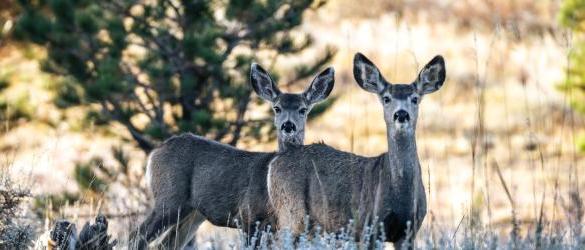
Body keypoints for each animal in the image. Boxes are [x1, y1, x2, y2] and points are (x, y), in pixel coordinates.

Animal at [130, 61, 336, 249]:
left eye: (303, 109)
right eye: (277, 108)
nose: (288, 125)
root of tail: (156, 151)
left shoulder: (275, 225)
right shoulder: (248, 215)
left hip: (192, 213)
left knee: (165, 243)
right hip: (169, 198)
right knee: (136, 235)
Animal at [266, 52, 444, 248]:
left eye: (414, 98)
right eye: (386, 98)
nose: (401, 114)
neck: (399, 192)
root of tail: (278, 159)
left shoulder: (409, 231)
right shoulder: (367, 226)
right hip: (290, 210)